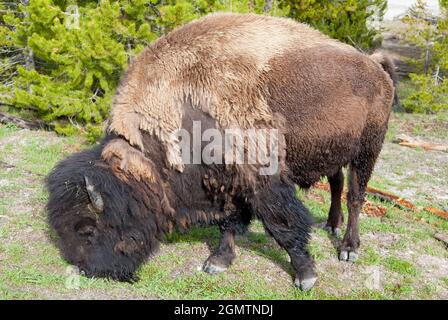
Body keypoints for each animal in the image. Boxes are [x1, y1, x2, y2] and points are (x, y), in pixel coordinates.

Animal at [46, 13, 396, 290]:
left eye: (87, 229)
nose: (89, 270)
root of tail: (375, 65)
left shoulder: (262, 180)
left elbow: (283, 224)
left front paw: (306, 276)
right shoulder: (225, 180)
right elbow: (227, 222)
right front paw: (218, 261)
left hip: (368, 150)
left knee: (355, 196)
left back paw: (348, 247)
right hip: (333, 151)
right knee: (337, 184)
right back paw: (332, 224)